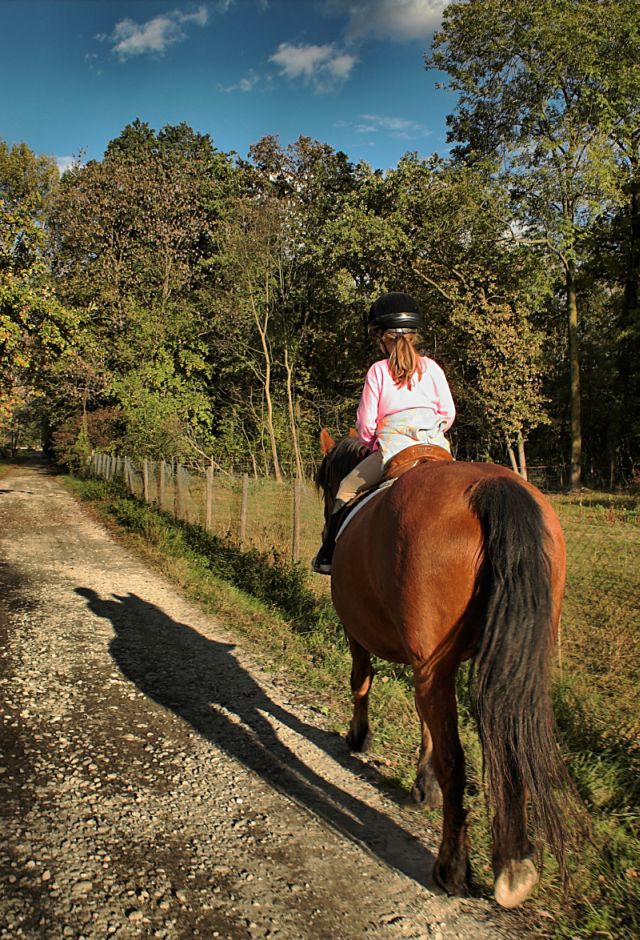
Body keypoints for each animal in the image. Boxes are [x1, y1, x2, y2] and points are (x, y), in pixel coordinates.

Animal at [315, 429, 576, 909]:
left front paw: (359, 737)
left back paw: (452, 866)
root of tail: (492, 488)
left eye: (325, 486)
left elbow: (361, 680)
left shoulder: (357, 629)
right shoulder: (428, 660)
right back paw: (514, 864)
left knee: (458, 759)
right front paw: (424, 785)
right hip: (510, 661)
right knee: (511, 743)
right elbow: (426, 723)